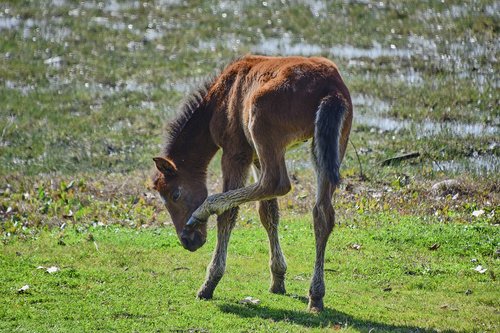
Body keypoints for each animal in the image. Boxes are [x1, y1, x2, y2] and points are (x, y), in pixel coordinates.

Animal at [152, 54, 352, 312]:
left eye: (175, 194)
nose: (188, 241)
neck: (221, 98)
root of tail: (331, 90)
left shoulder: (236, 152)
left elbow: (229, 214)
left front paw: (210, 282)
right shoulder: (256, 155)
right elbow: (268, 213)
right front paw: (278, 278)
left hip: (263, 126)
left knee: (278, 183)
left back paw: (205, 210)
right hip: (326, 144)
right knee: (322, 213)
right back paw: (316, 296)